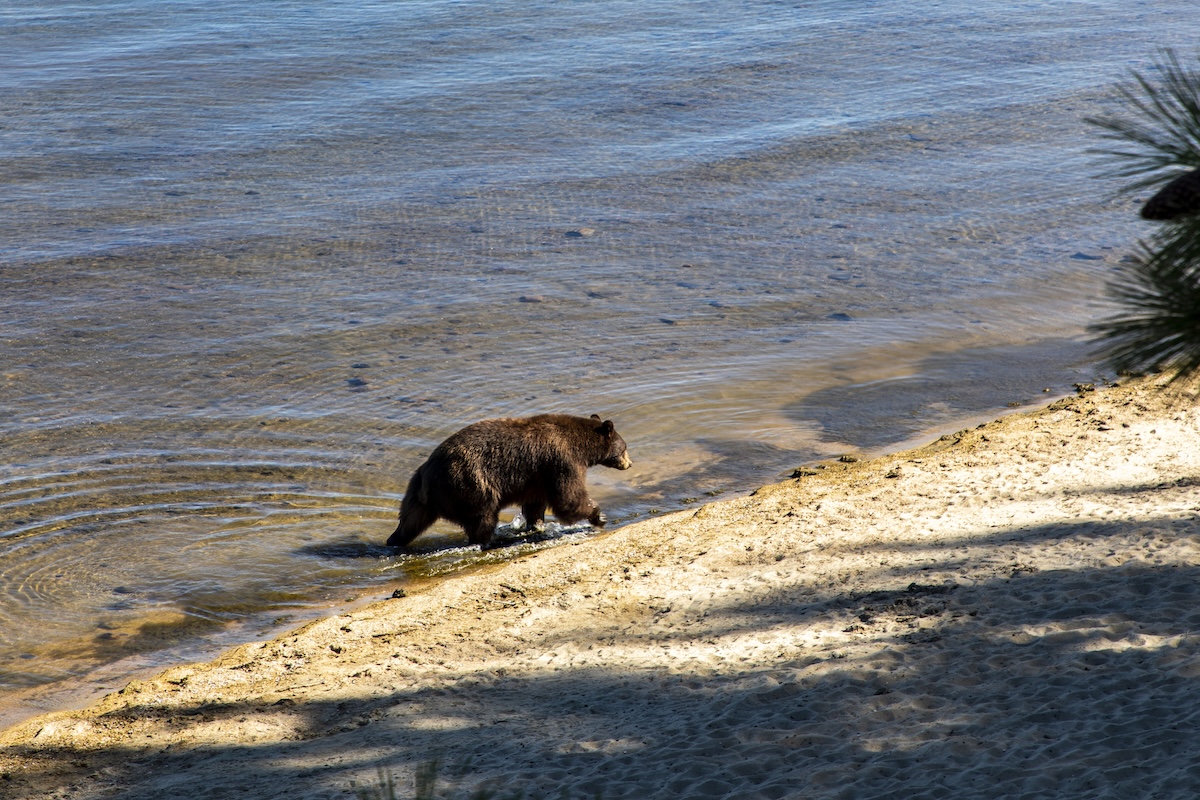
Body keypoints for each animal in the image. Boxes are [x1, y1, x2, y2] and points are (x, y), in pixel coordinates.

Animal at [387, 413, 632, 550]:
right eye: (624, 447)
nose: (629, 464)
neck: (581, 446)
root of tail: (427, 474)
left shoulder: (537, 476)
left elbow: (535, 504)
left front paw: (536, 524)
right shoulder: (561, 461)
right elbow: (568, 498)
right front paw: (599, 516)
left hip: (417, 492)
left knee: (410, 519)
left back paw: (394, 539)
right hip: (470, 484)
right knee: (482, 518)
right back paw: (487, 540)